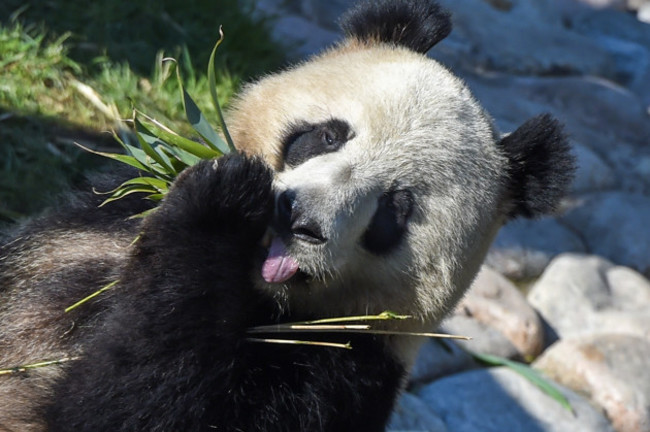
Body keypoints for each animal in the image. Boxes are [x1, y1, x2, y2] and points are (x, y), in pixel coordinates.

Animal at [0, 0, 575, 431]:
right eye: (328, 135)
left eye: (394, 210)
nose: (296, 218)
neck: (257, 294)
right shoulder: (85, 232)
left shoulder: (334, 374)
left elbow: (120, 407)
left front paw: (221, 205)